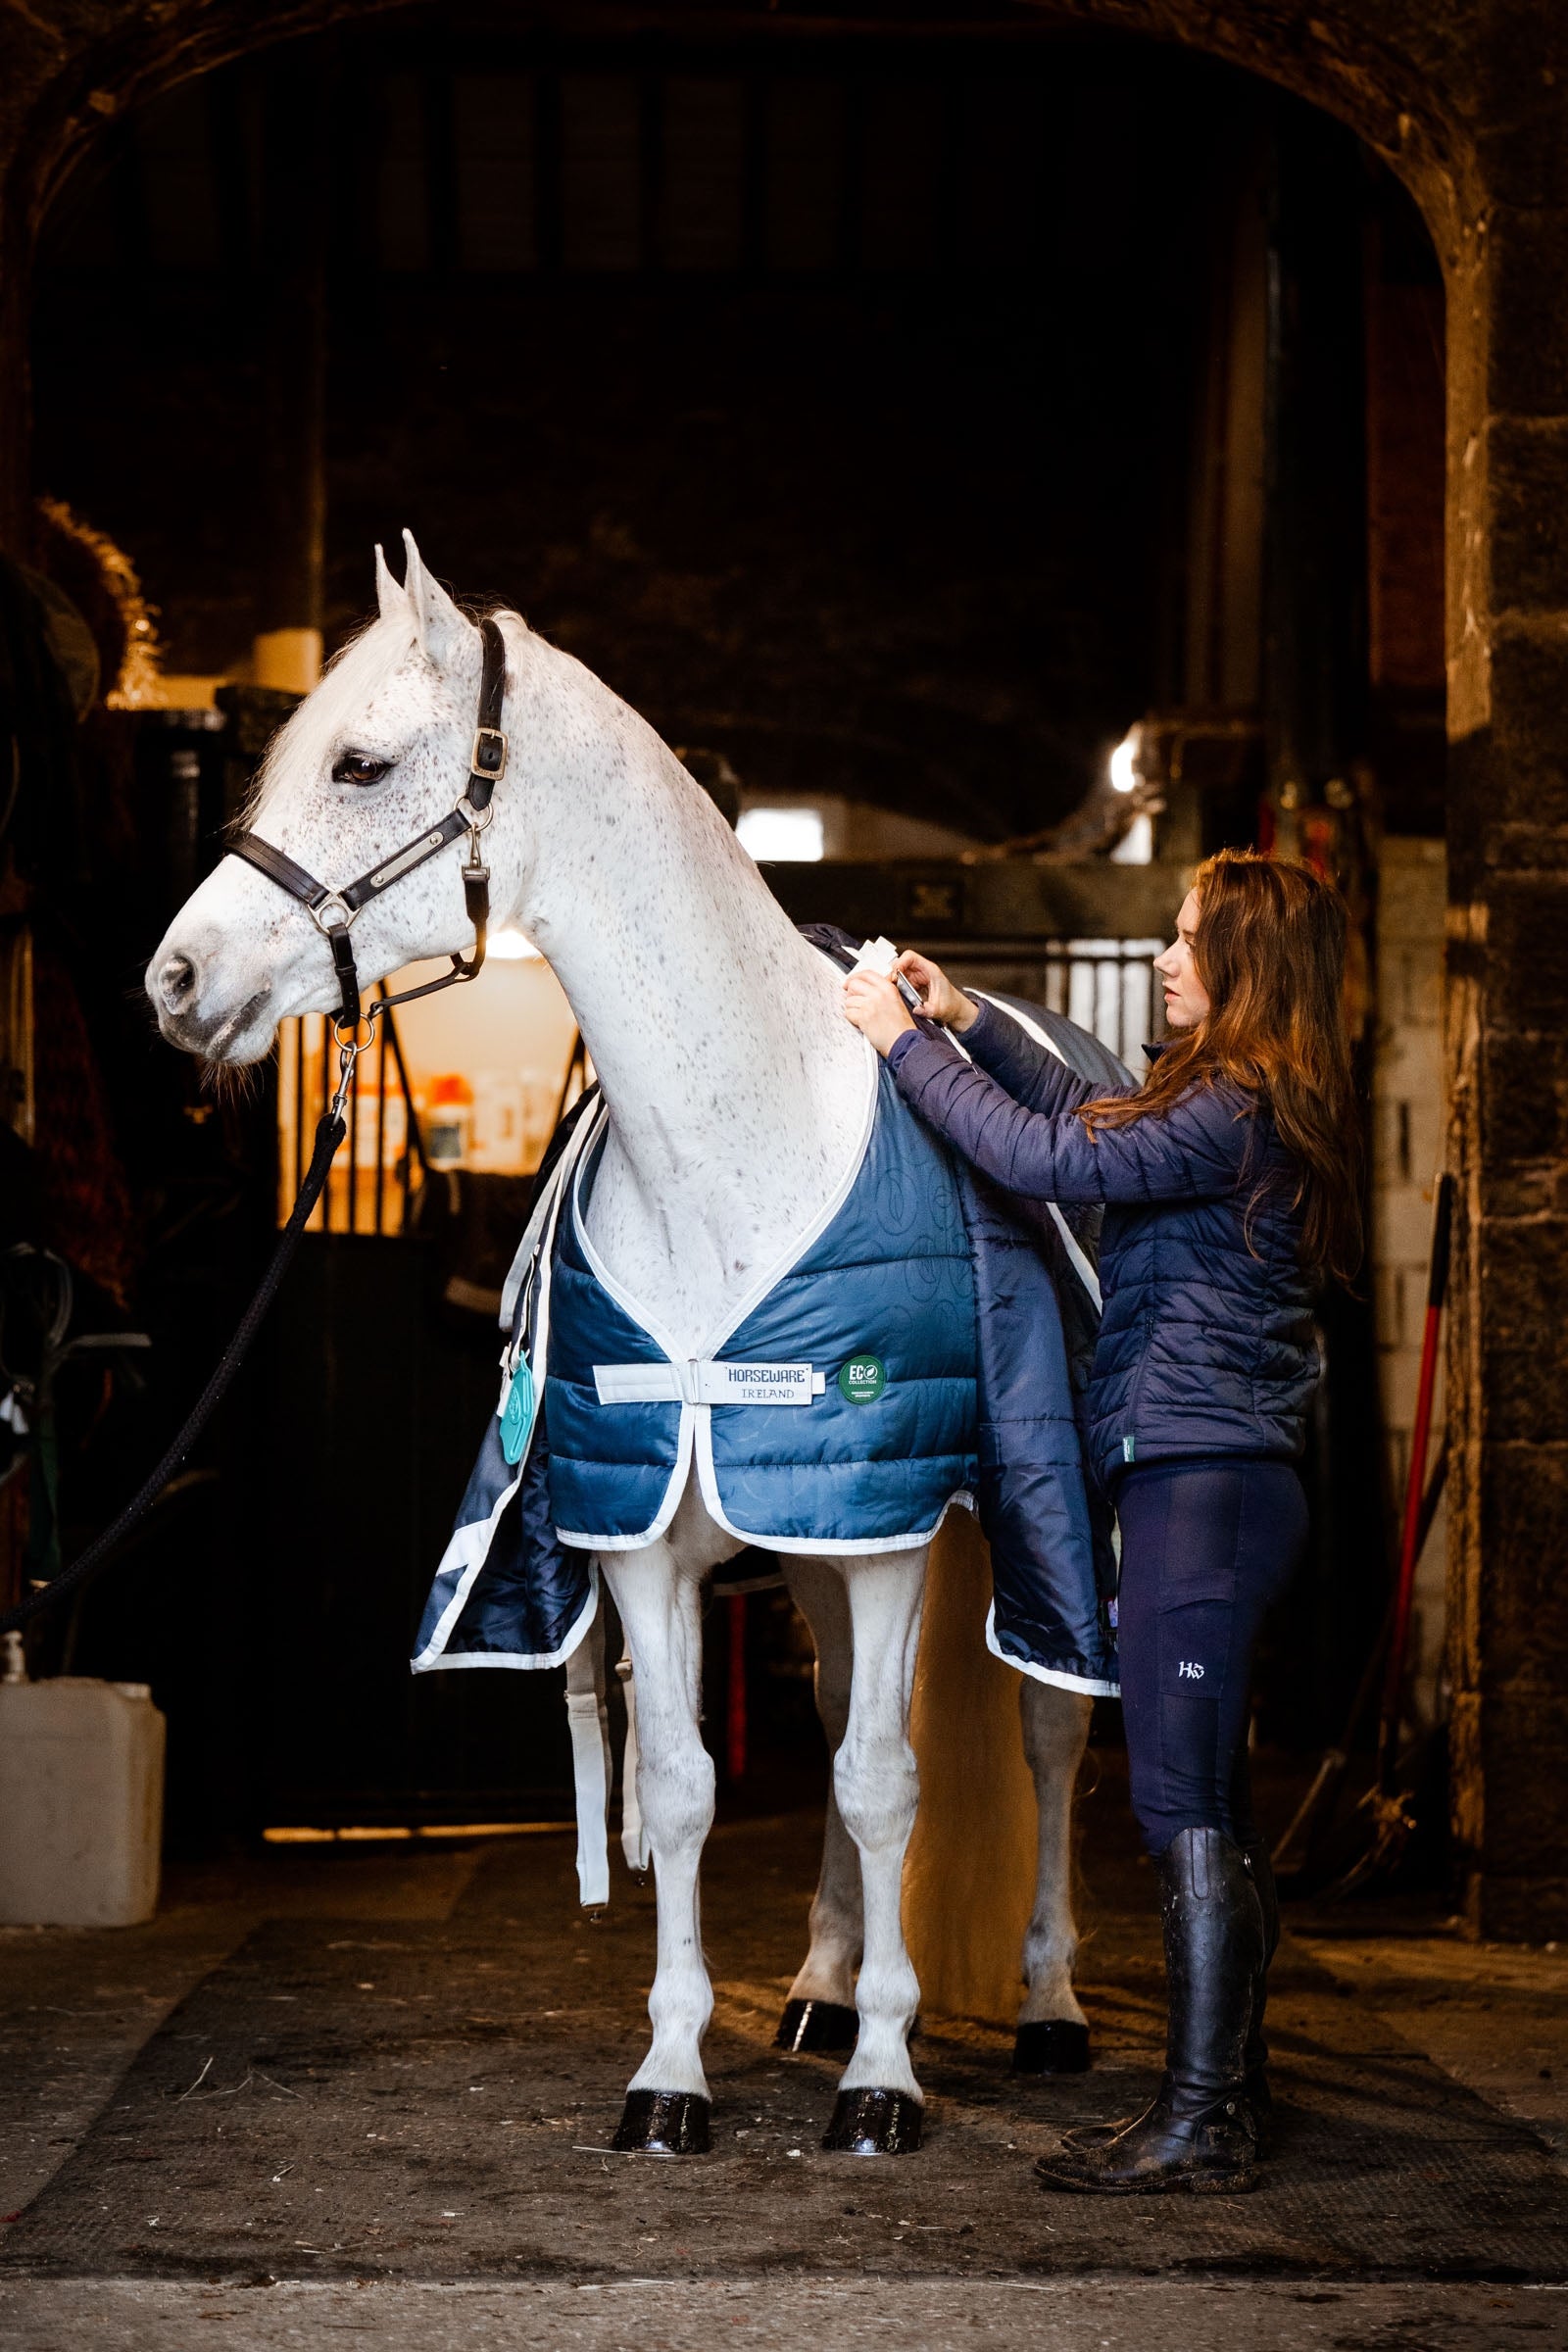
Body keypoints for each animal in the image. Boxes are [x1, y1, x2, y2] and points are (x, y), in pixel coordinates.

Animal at [146, 533, 1105, 2158]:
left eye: (358, 763)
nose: (174, 978)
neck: (733, 1143)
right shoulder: (658, 1542)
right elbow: (684, 1788)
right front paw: (674, 2076)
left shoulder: (888, 1535)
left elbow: (885, 1781)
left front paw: (886, 2083)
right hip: (804, 1555)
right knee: (840, 1727)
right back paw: (820, 1986)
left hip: (1015, 1534)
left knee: (1043, 1738)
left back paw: (1042, 2006)